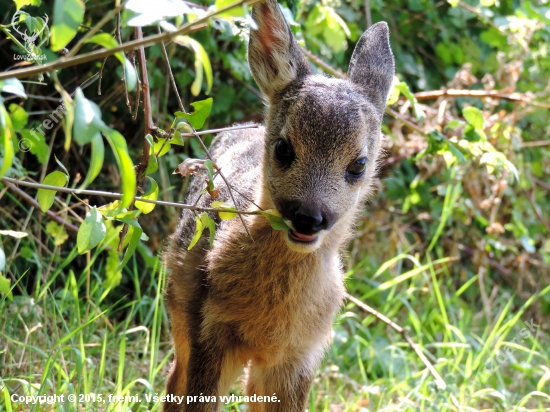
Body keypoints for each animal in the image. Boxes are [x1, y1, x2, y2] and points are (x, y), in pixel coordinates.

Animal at [166, 1, 394, 410]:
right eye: (284, 149)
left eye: (358, 164)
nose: (309, 217)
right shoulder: (211, 331)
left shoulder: (299, 357)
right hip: (180, 310)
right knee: (173, 380)